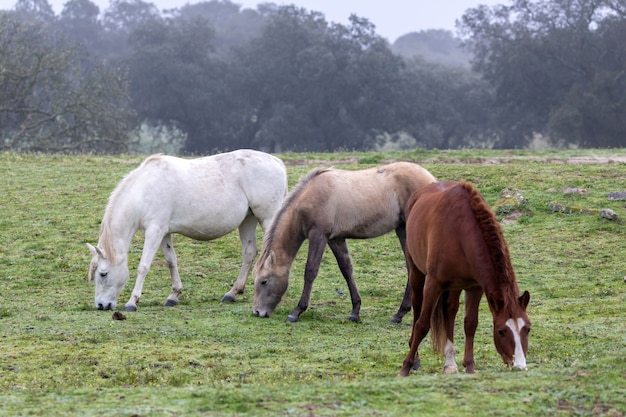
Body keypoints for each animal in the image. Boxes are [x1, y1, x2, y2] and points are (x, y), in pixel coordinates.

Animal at [88, 149, 288, 308]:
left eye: (103, 274)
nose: (101, 305)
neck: (144, 189)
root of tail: (276, 162)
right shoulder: (164, 233)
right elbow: (171, 261)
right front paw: (173, 296)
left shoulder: (154, 232)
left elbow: (143, 266)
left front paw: (132, 302)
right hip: (248, 220)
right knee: (249, 252)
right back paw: (232, 293)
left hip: (268, 218)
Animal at [251, 162, 436, 322]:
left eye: (264, 281)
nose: (258, 312)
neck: (311, 195)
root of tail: (432, 180)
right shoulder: (335, 239)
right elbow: (346, 270)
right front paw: (355, 312)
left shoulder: (318, 235)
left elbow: (310, 271)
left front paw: (296, 312)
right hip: (402, 229)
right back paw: (400, 314)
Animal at [398, 180, 528, 376]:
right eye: (501, 331)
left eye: (527, 328)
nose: (520, 365)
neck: (460, 233)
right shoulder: (433, 284)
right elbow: (422, 324)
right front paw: (405, 367)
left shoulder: (475, 287)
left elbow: (470, 324)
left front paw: (470, 366)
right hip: (417, 273)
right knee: (417, 309)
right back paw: (416, 357)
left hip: (455, 286)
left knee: (450, 312)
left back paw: (450, 363)